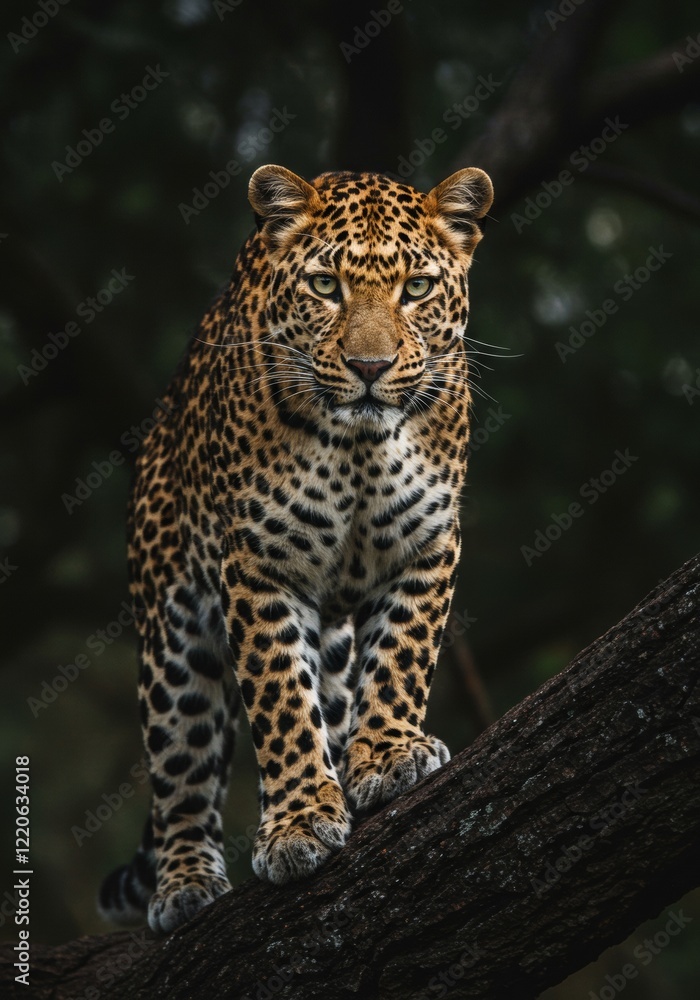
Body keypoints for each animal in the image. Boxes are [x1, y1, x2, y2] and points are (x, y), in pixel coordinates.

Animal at [98, 162, 494, 934]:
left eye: (417, 288)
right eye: (324, 285)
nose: (369, 366)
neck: (361, 444)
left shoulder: (426, 544)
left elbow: (401, 659)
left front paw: (388, 756)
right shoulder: (259, 565)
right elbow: (279, 699)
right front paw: (300, 822)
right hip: (172, 634)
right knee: (181, 766)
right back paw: (186, 881)